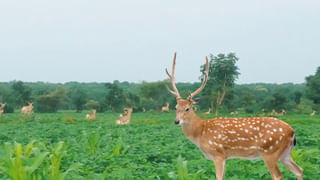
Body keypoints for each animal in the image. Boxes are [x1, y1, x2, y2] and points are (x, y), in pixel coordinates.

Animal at [165, 52, 302, 180]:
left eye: (187, 108)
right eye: (175, 108)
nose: (176, 121)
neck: (201, 132)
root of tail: (292, 131)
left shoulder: (218, 153)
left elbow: (218, 177)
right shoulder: (225, 156)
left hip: (270, 151)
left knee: (278, 176)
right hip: (285, 153)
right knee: (299, 170)